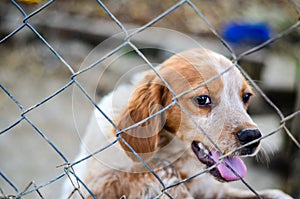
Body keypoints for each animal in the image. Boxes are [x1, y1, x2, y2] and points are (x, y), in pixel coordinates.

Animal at [61, 48, 292, 199]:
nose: (253, 137)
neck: (168, 151)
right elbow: (156, 173)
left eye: (246, 96)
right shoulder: (94, 185)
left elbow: (272, 194)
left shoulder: (210, 189)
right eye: (202, 99)